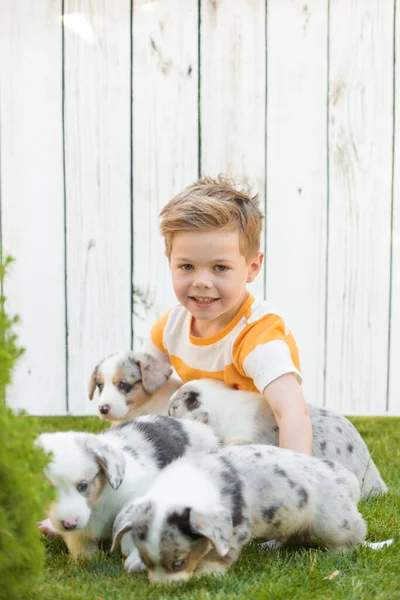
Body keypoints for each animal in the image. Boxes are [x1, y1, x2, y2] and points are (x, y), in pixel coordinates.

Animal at [111, 446, 368, 580]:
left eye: (179, 562)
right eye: (148, 561)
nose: (164, 588)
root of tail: (347, 477)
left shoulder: (236, 529)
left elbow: (221, 555)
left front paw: (207, 572)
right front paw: (135, 561)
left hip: (334, 523)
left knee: (355, 535)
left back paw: (339, 553)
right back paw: (271, 546)